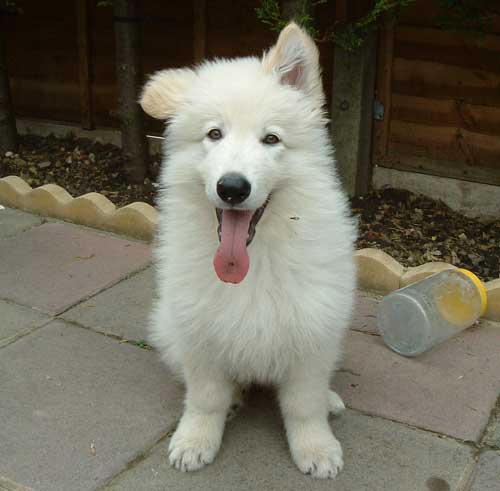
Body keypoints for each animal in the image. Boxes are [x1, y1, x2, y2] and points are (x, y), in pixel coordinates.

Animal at [141, 23, 356, 480]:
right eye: (214, 134)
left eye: (271, 138)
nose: (232, 188)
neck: (252, 262)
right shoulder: (198, 331)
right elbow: (205, 397)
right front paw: (195, 440)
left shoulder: (312, 330)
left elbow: (304, 403)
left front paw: (316, 447)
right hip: (167, 326)